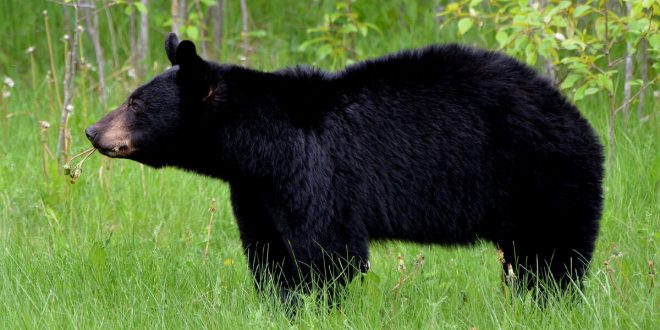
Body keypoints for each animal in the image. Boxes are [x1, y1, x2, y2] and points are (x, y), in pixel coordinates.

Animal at [86, 33, 604, 300]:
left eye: (134, 103)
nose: (92, 131)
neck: (258, 146)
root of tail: (579, 120)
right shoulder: (255, 188)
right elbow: (268, 251)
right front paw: (280, 303)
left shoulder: (316, 170)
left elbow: (328, 252)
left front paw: (316, 303)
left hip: (542, 176)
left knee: (551, 256)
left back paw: (546, 301)